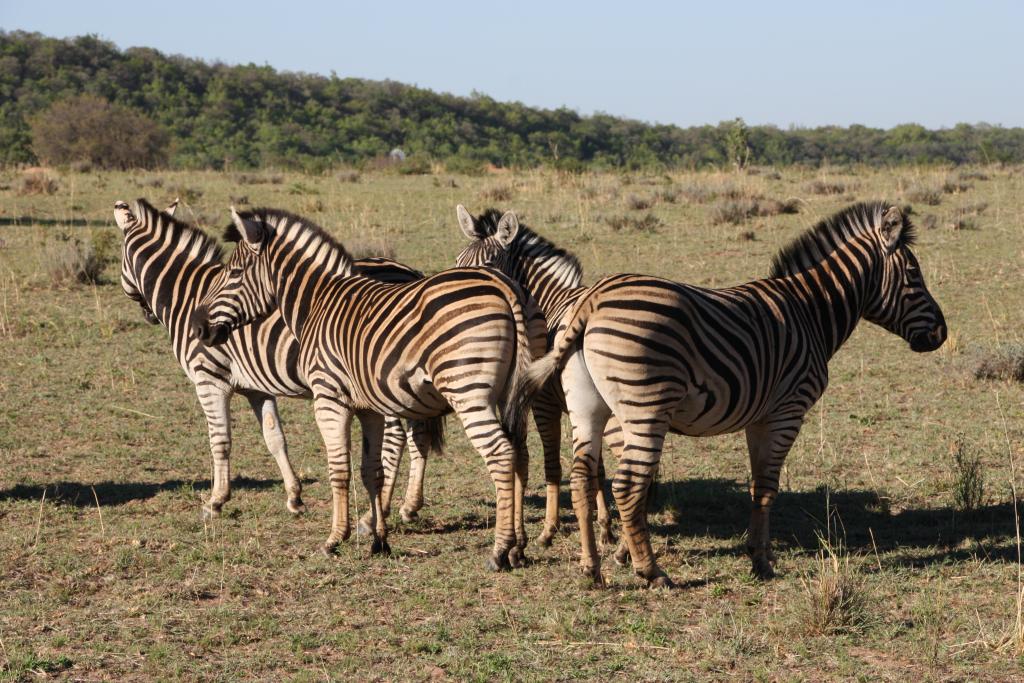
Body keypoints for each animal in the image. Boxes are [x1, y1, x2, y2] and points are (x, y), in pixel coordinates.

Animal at [113, 198, 428, 520]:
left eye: (120, 258)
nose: (149, 315)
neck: (185, 295)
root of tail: (410, 272)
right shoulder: (257, 388)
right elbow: (275, 438)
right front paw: (295, 497)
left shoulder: (209, 379)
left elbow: (220, 441)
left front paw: (215, 501)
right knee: (418, 435)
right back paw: (408, 506)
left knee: (397, 437)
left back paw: (381, 510)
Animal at [191, 206, 548, 569]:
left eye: (234, 273)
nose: (198, 326)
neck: (316, 303)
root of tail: (504, 285)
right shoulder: (369, 409)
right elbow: (372, 471)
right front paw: (379, 540)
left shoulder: (328, 398)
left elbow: (339, 470)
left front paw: (335, 539)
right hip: (512, 393)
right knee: (520, 453)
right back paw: (518, 547)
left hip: (468, 391)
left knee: (500, 454)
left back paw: (499, 550)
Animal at [454, 206, 617, 549]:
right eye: (459, 260)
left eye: (490, 263)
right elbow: (596, 465)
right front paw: (605, 526)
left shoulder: (542, 403)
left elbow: (548, 463)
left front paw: (546, 529)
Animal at [514, 202, 946, 587]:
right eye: (913, 273)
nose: (941, 334)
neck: (810, 312)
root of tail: (591, 299)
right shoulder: (788, 411)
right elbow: (769, 487)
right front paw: (762, 562)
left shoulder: (759, 417)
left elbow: (757, 486)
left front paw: (759, 554)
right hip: (644, 408)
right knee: (627, 485)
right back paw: (651, 572)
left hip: (588, 408)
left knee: (582, 480)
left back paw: (591, 568)